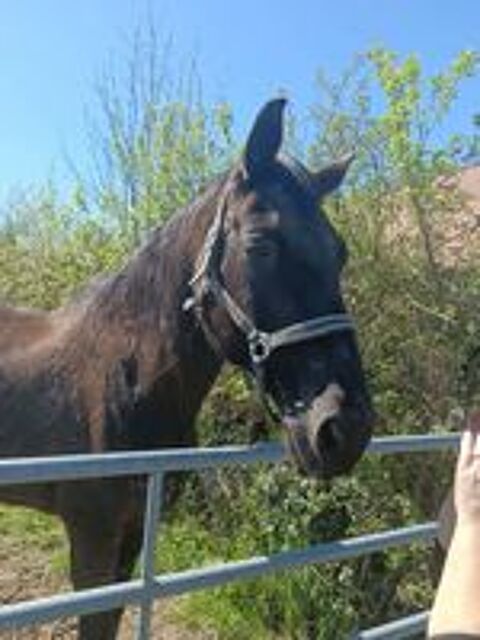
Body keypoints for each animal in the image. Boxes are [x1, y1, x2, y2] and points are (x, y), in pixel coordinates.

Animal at [0, 98, 373, 638]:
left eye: (339, 253)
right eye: (260, 244)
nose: (346, 427)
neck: (127, 383)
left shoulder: (132, 533)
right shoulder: (92, 535)